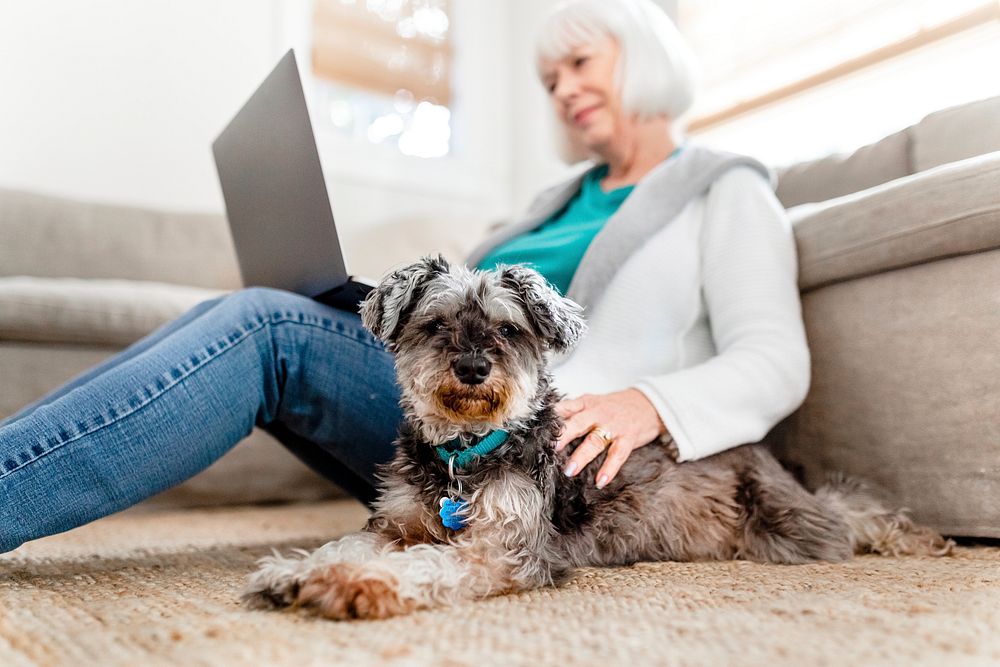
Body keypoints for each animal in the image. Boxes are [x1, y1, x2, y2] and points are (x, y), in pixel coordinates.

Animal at [242, 256, 952, 620]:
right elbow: (347, 543)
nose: (472, 368)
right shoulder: (394, 523)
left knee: (848, 510)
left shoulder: (506, 550)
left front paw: (353, 586)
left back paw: (921, 538)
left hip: (788, 527)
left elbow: (429, 564)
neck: (464, 451)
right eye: (435, 324)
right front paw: (295, 571)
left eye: (508, 329)